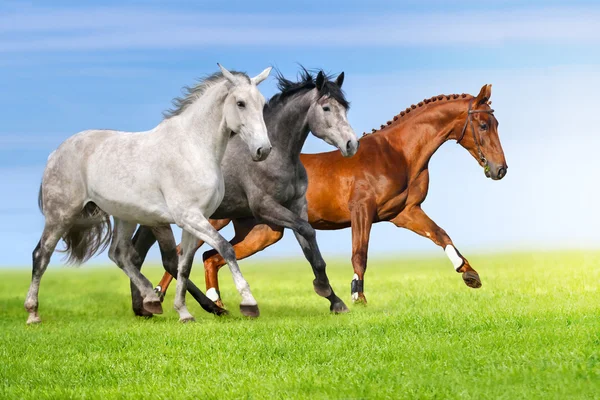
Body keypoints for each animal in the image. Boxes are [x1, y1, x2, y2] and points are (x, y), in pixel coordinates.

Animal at [27, 64, 274, 324]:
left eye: (261, 102)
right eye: (240, 103)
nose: (263, 150)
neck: (193, 148)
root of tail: (55, 153)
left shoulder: (194, 220)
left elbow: (183, 265)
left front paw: (184, 312)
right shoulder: (189, 217)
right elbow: (224, 248)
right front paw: (249, 304)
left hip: (124, 217)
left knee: (119, 255)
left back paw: (151, 299)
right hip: (61, 215)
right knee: (41, 255)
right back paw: (33, 314)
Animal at [129, 68, 358, 316]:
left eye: (345, 108)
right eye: (326, 108)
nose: (351, 144)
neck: (276, 156)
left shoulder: (297, 206)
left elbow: (310, 248)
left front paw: (335, 301)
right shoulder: (265, 207)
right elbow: (307, 230)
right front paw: (323, 288)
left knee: (143, 253)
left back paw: (146, 307)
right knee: (166, 258)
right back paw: (198, 305)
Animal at [152, 82, 504, 306]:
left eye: (495, 123)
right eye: (484, 125)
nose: (500, 169)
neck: (397, 154)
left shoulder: (404, 213)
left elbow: (440, 234)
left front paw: (470, 274)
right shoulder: (362, 210)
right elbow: (359, 254)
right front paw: (356, 295)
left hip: (264, 231)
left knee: (211, 257)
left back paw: (215, 302)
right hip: (218, 219)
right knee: (186, 253)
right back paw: (160, 298)